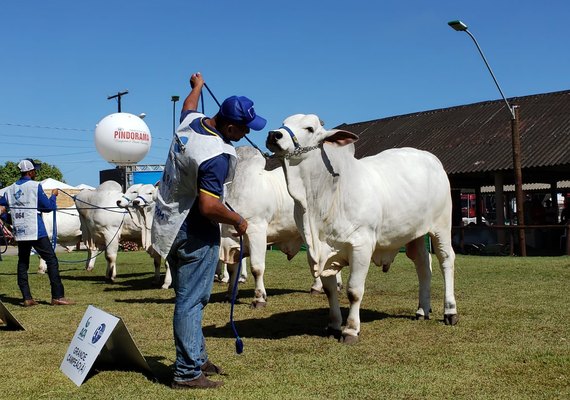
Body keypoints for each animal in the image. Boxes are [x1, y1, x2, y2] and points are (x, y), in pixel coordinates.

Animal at [220, 146, 340, 306]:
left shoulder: (256, 230)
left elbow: (256, 268)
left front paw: (259, 298)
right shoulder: (232, 240)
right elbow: (232, 269)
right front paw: (230, 295)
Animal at [266, 113, 458, 344]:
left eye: (310, 128)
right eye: (284, 123)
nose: (274, 135)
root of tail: (431, 158)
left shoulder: (361, 246)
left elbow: (354, 290)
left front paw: (350, 330)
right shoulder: (320, 251)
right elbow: (330, 290)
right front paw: (333, 325)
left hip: (441, 227)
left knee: (446, 260)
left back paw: (450, 311)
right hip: (415, 234)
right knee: (423, 266)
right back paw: (422, 310)